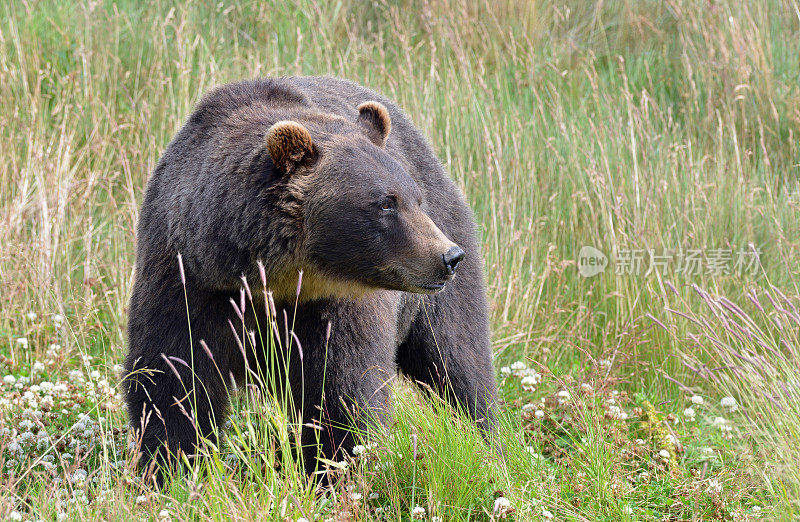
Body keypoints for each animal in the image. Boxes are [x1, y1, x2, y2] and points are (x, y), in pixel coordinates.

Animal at [123, 77, 500, 480]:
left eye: (415, 199)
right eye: (386, 202)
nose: (448, 256)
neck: (271, 280)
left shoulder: (334, 304)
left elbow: (343, 390)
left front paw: (333, 467)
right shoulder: (188, 277)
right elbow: (173, 378)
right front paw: (172, 466)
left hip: (434, 283)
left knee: (458, 360)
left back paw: (491, 445)